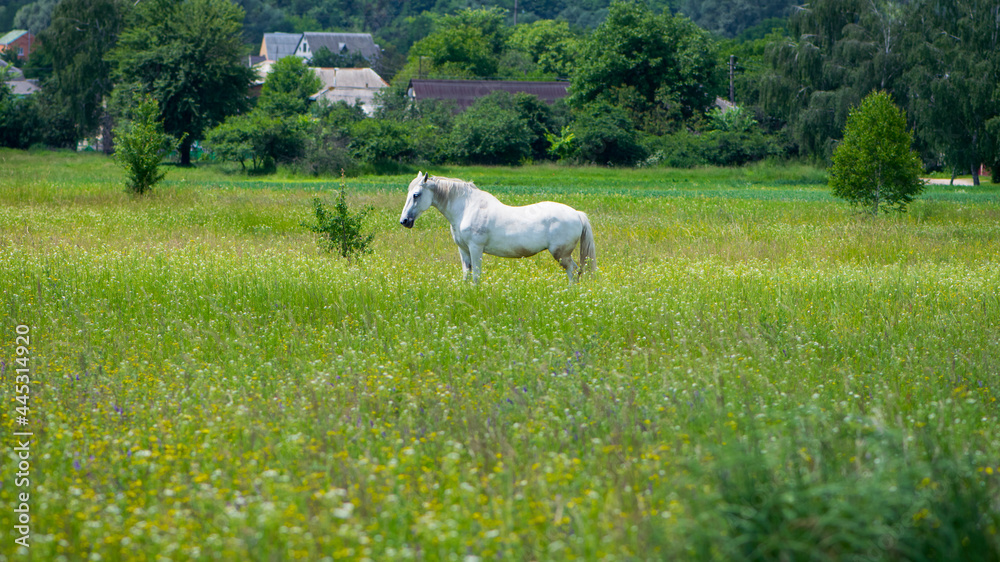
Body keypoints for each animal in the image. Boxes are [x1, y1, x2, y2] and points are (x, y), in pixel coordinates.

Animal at [399, 172, 596, 283]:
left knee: (573, 271)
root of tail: (577, 213)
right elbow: (466, 274)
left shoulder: (475, 248)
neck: (466, 208)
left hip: (561, 254)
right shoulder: (463, 250)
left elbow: (476, 276)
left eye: (416, 195)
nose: (404, 221)